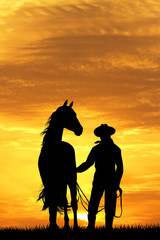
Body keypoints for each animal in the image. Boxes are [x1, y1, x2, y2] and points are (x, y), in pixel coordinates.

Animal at [37, 100, 82, 229]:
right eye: (70, 115)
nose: (80, 129)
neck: (53, 148)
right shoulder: (47, 181)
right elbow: (53, 201)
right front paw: (53, 224)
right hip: (61, 182)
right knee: (63, 200)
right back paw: (66, 224)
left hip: (70, 179)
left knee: (72, 202)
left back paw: (74, 226)